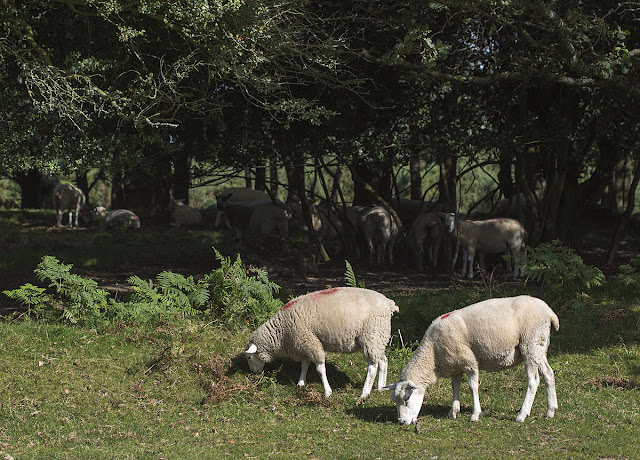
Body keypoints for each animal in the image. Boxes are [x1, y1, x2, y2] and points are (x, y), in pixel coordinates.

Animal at [244, 288, 396, 398]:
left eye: (249, 357)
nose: (253, 373)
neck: (281, 332)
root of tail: (389, 304)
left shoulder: (310, 342)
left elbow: (320, 369)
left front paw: (327, 392)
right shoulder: (304, 344)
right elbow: (304, 364)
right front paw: (300, 383)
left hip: (371, 335)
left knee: (372, 367)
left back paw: (364, 393)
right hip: (378, 338)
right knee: (383, 360)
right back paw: (381, 387)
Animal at [384, 294, 560, 424]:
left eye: (407, 399)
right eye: (395, 401)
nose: (401, 422)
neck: (432, 354)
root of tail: (549, 312)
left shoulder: (469, 362)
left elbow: (472, 387)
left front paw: (475, 415)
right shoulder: (455, 365)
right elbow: (455, 387)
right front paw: (453, 412)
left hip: (530, 344)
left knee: (533, 381)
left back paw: (522, 415)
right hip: (539, 347)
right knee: (548, 374)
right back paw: (550, 410)